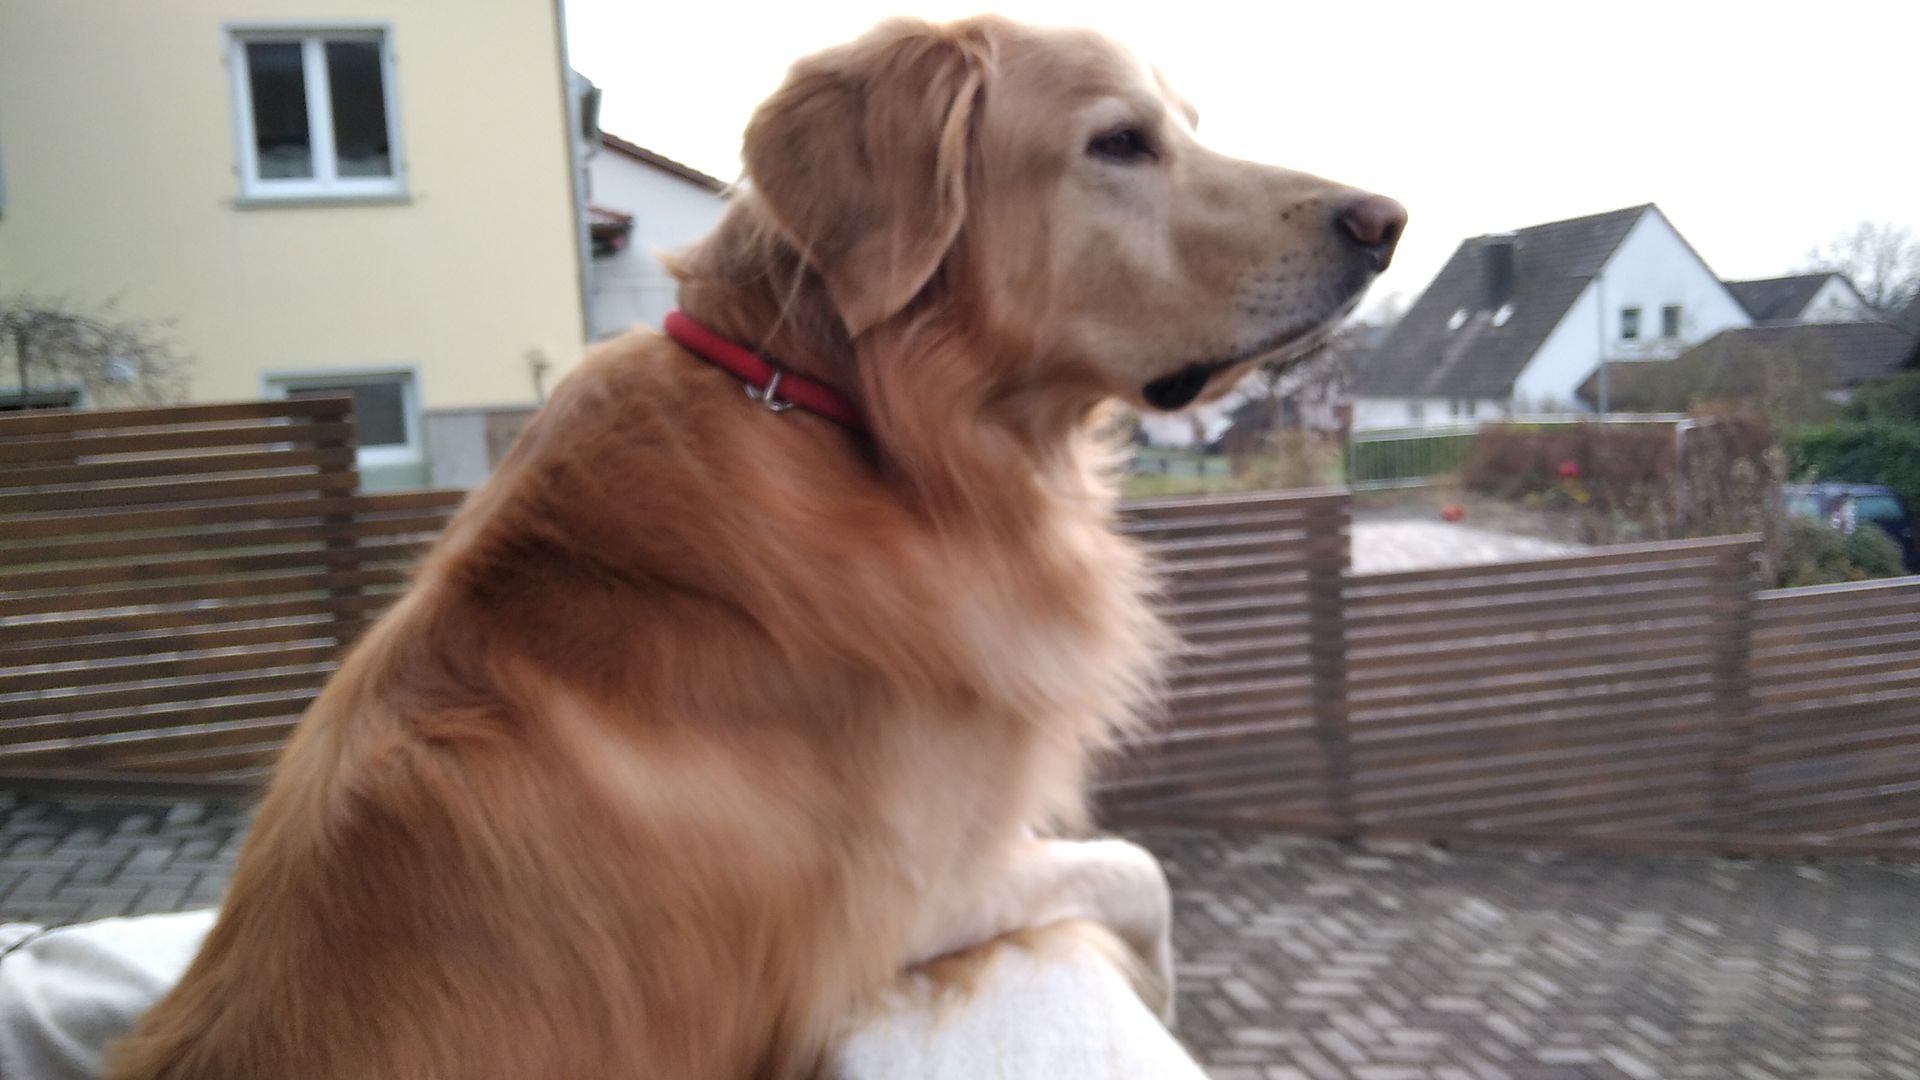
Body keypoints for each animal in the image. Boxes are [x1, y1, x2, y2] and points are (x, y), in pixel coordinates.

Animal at [107, 16, 1401, 1078]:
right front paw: (1160, 989)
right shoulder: (901, 909)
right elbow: (1140, 868)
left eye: (1186, 127)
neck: (851, 424)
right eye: (1122, 141)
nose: (1385, 223)